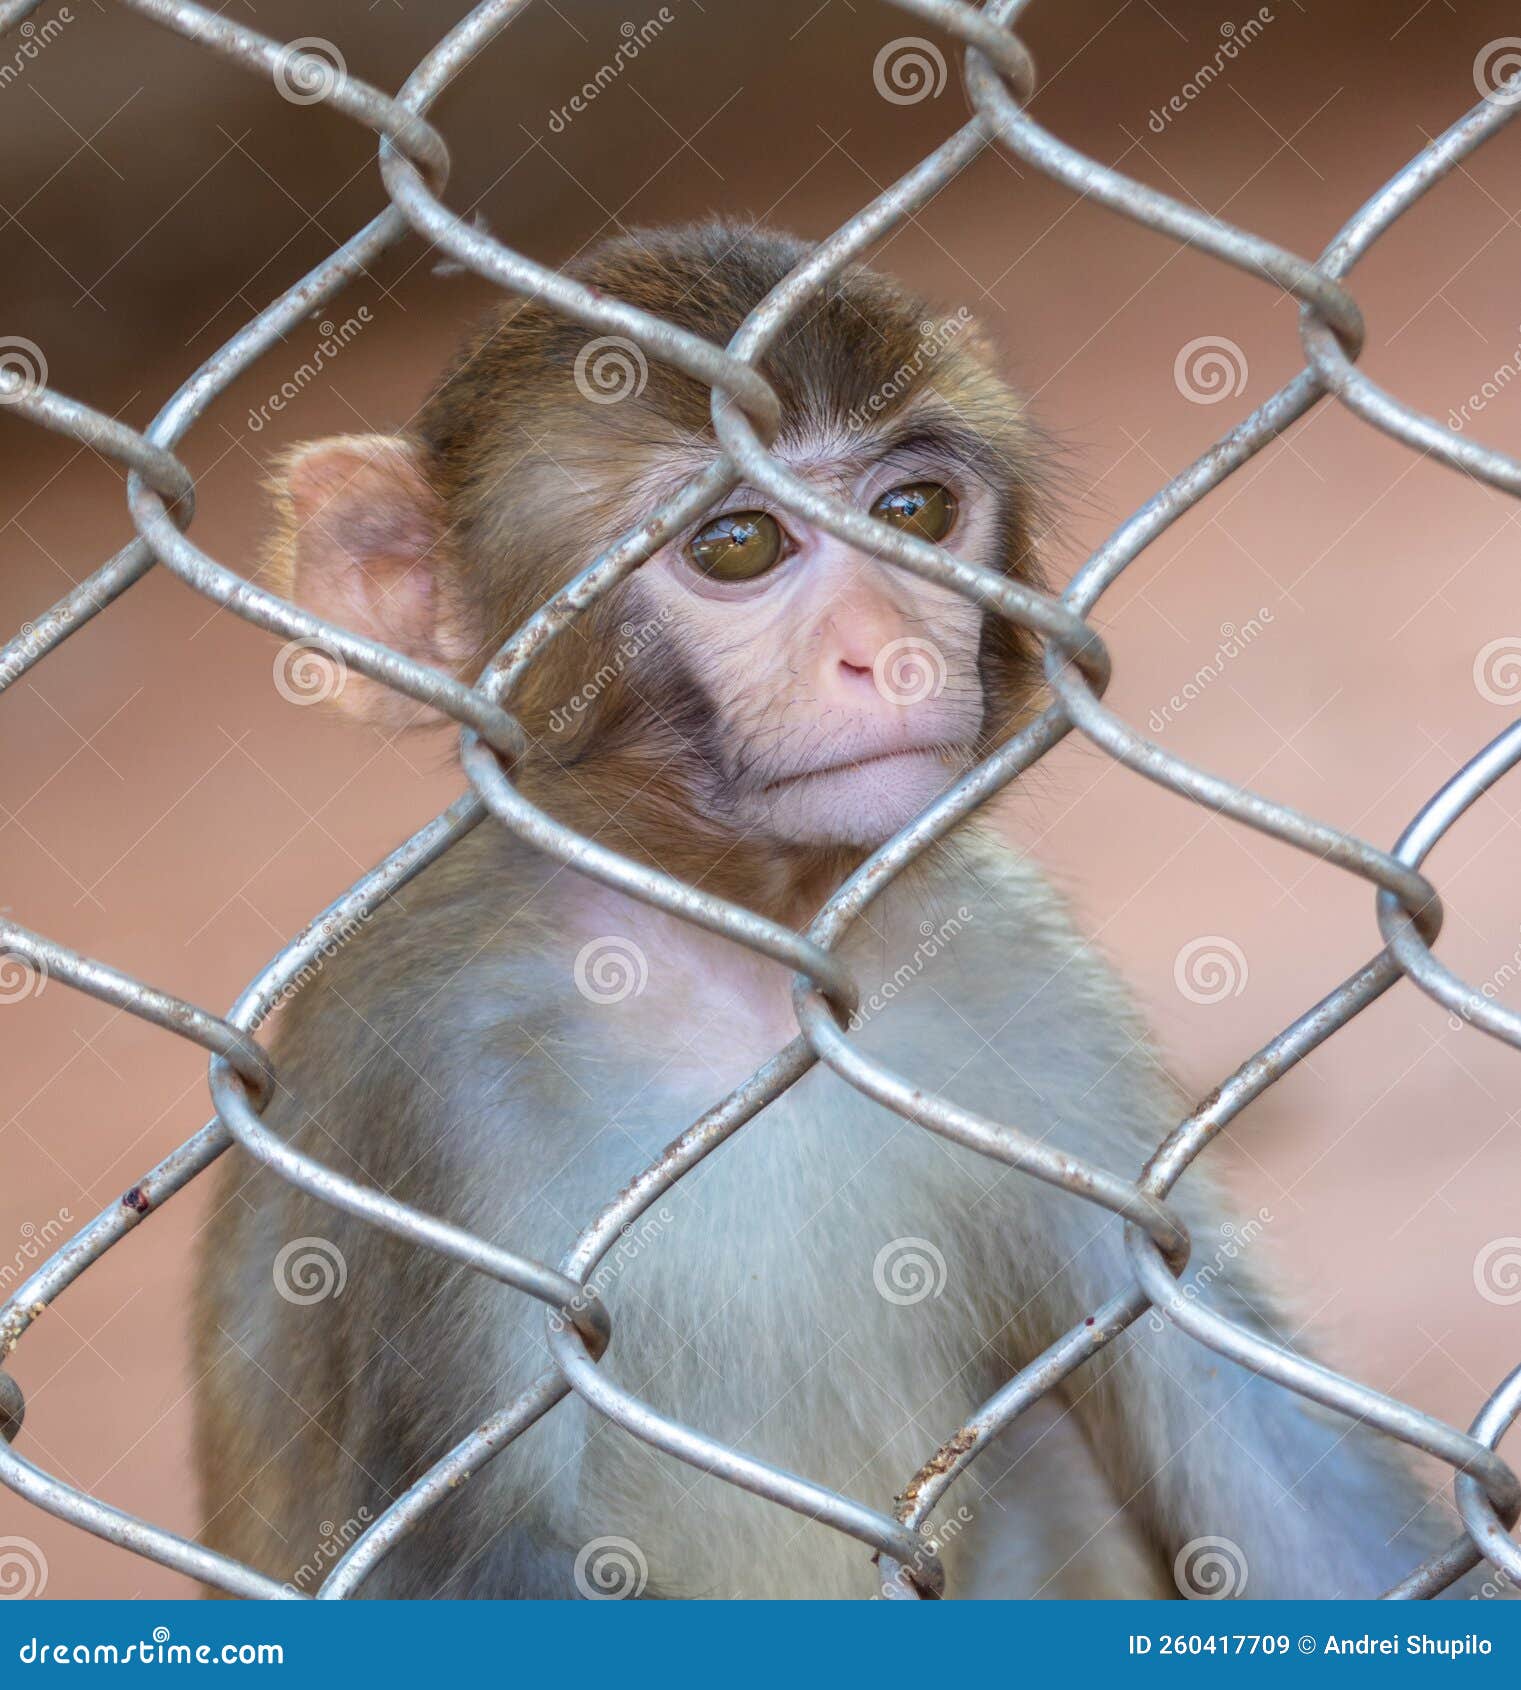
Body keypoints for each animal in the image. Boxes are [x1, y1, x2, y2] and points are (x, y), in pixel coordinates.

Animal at [192, 220, 1478, 1601]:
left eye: (915, 511)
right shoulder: (425, 1079)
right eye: (738, 544)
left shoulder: (1017, 967)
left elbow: (1252, 1440)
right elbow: (454, 1558)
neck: (743, 966)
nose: (891, 650)